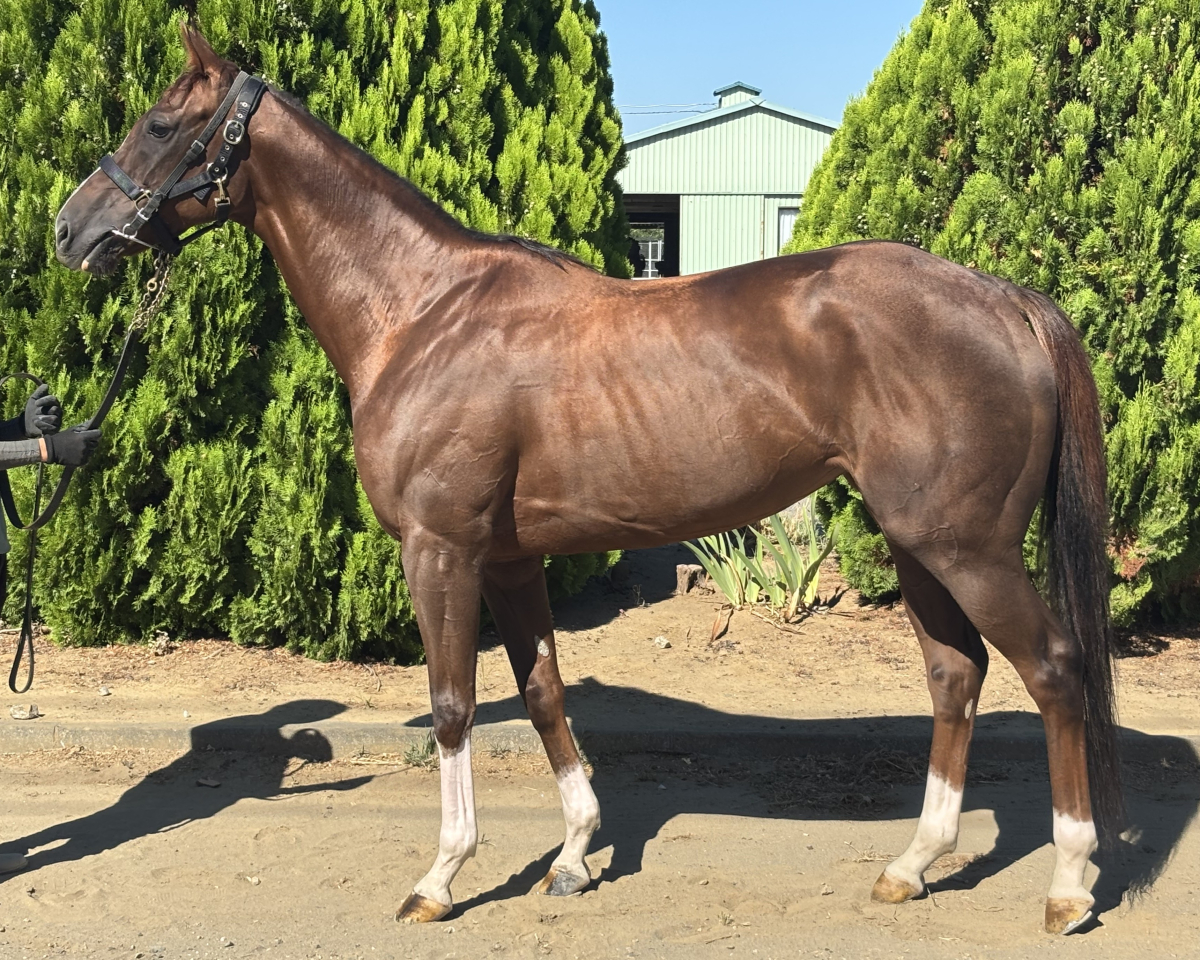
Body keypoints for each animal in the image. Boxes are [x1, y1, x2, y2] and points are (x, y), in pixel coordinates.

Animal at [54, 25, 1122, 935]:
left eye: (159, 125)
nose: (70, 230)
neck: (422, 312)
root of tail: (1006, 298)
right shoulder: (511, 561)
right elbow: (542, 693)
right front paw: (571, 856)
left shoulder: (440, 551)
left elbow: (452, 705)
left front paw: (442, 877)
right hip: (918, 542)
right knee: (956, 676)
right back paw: (914, 864)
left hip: (968, 547)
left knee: (1052, 670)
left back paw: (1070, 884)